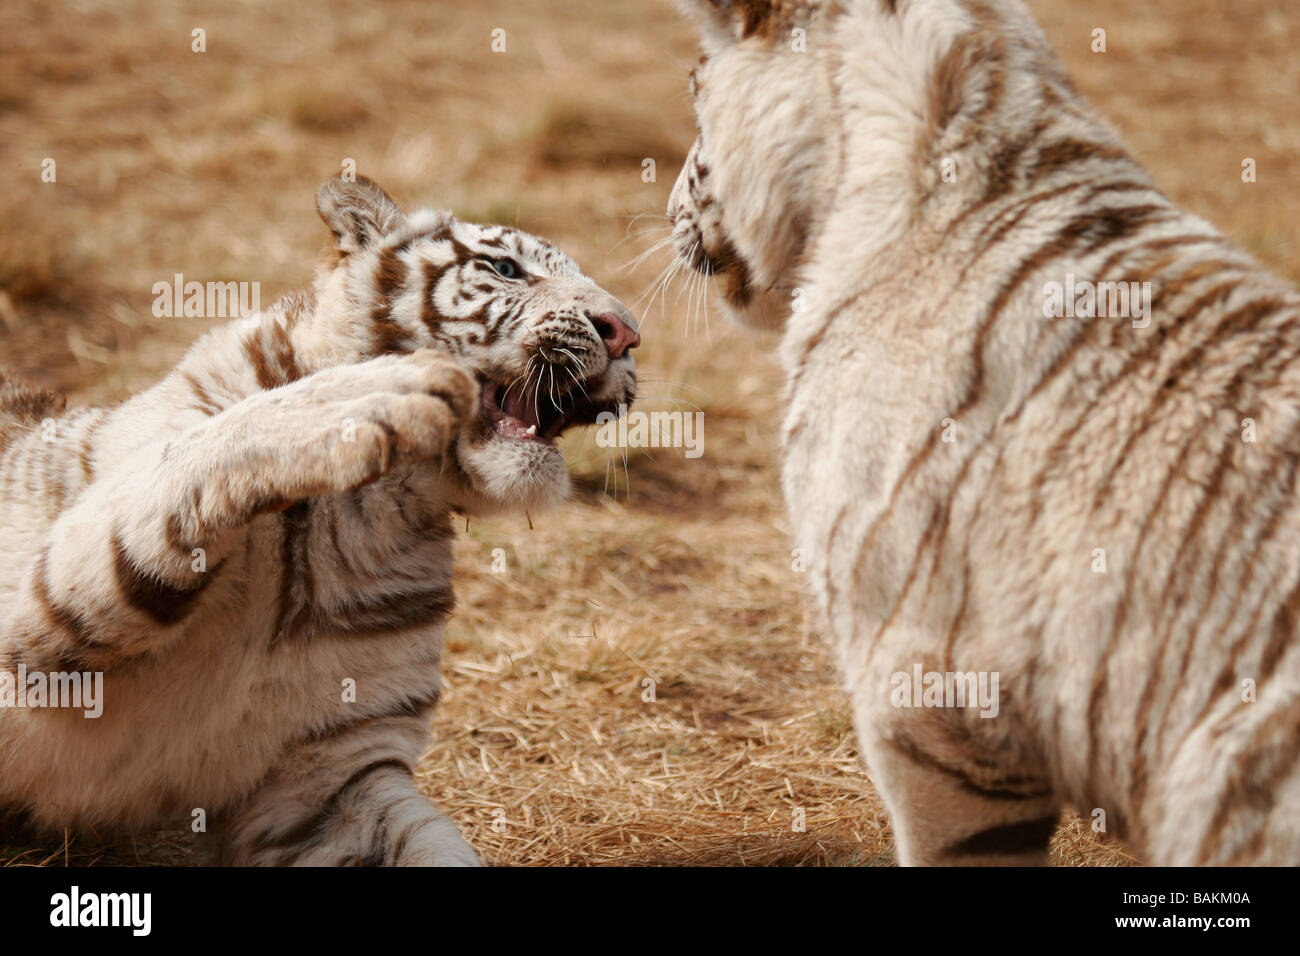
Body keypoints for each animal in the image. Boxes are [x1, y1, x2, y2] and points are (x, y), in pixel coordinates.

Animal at [0, 174, 639, 868]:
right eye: (506, 269)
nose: (627, 333)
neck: (360, 505)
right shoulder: (28, 626)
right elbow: (199, 450)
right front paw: (376, 391)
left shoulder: (331, 776)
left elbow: (433, 847)